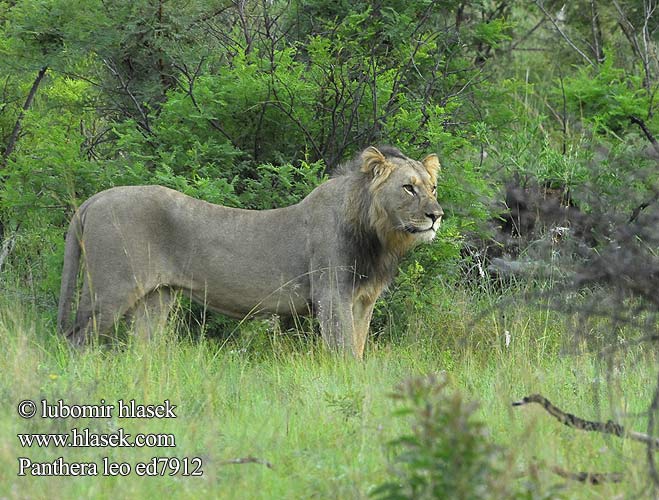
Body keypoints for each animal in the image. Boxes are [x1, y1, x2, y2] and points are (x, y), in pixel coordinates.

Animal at [58, 146, 444, 360]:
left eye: (433, 188)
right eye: (408, 188)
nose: (437, 215)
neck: (378, 236)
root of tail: (94, 199)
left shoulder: (363, 299)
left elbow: (359, 347)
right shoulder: (332, 295)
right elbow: (345, 351)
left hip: (156, 298)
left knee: (141, 347)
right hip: (111, 290)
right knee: (77, 339)